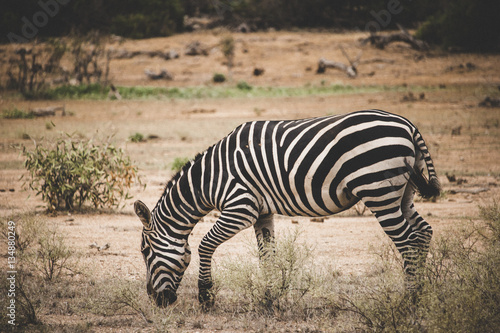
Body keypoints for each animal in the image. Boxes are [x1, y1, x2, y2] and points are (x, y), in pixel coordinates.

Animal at [135, 109, 440, 306]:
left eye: (145, 252)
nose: (155, 300)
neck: (211, 178)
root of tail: (409, 125)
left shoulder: (240, 207)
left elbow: (205, 244)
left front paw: (206, 297)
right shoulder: (262, 212)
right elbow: (267, 257)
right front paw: (269, 300)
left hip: (378, 191)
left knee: (408, 241)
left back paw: (409, 301)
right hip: (403, 193)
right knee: (423, 232)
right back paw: (422, 294)